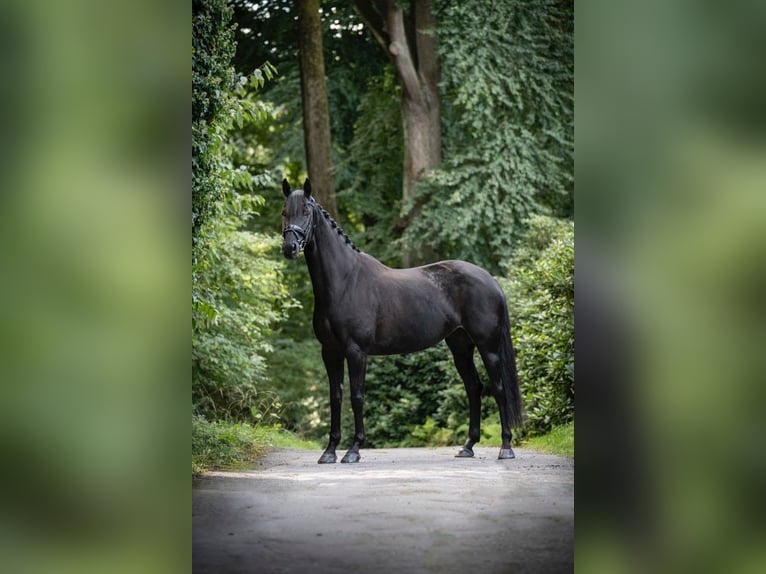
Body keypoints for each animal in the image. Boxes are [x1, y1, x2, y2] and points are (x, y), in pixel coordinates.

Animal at [282, 178, 528, 466]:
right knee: (473, 388)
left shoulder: (356, 351)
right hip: (460, 347)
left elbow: (357, 397)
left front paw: (354, 450)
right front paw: (329, 451)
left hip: (488, 347)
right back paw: (468, 446)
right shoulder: (330, 351)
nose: (289, 248)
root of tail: (491, 281)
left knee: (498, 389)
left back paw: (506, 448)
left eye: (306, 212)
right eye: (284, 213)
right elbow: (336, 397)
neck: (345, 281)